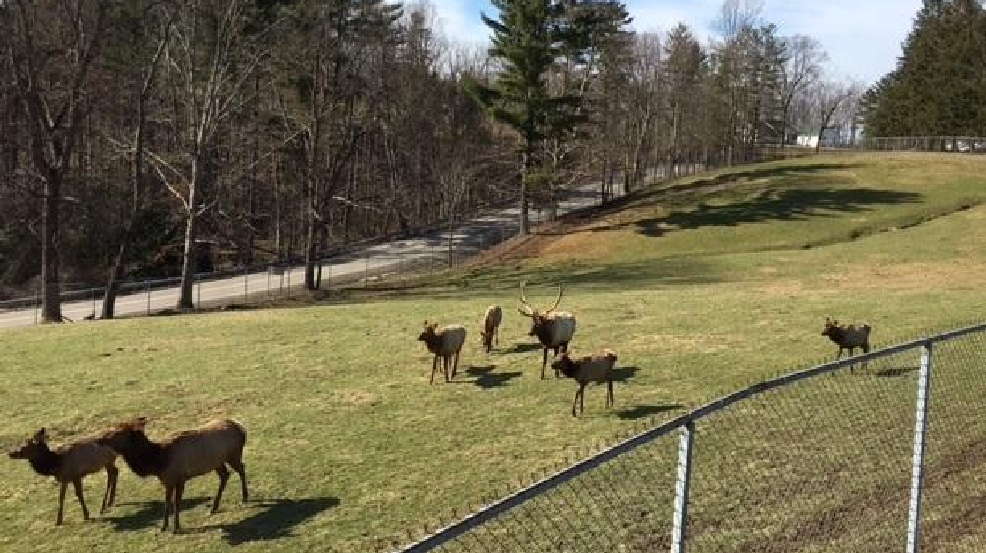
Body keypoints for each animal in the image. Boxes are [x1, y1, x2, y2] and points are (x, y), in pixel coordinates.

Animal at [96, 418, 248, 532]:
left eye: (117, 432)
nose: (99, 439)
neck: (159, 461)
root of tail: (242, 429)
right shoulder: (167, 481)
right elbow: (167, 503)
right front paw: (163, 527)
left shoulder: (180, 478)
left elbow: (176, 503)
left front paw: (176, 527)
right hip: (217, 462)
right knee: (225, 475)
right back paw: (213, 507)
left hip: (233, 455)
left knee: (241, 469)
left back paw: (244, 498)